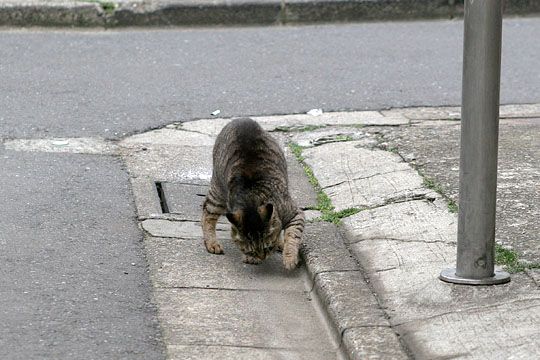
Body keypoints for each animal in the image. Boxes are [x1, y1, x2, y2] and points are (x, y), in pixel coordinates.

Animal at [201, 118, 304, 270]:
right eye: (251, 250)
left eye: (268, 247)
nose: (262, 257)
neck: (251, 200)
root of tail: (241, 119)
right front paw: (250, 258)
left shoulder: (295, 214)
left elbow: (292, 236)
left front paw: (289, 258)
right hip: (217, 192)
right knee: (207, 215)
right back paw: (211, 243)